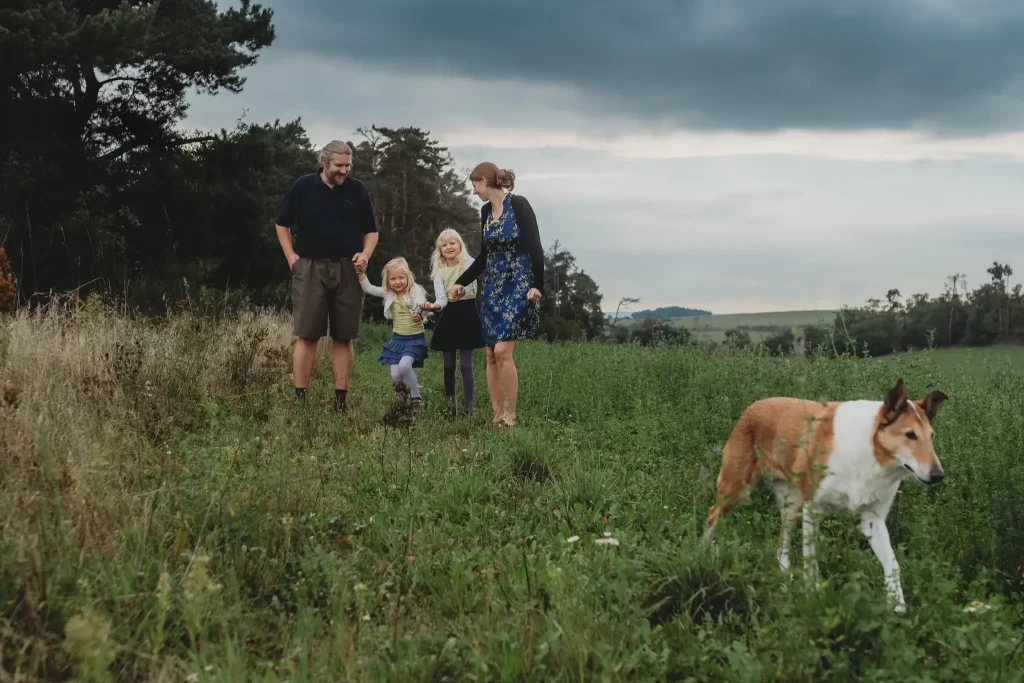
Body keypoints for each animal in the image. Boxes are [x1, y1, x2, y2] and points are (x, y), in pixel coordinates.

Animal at [700, 378, 946, 614]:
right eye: (910, 435)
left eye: (932, 436)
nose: (938, 475)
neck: (871, 451)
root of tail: (753, 405)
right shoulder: (813, 509)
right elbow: (811, 559)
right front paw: (812, 594)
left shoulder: (872, 520)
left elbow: (892, 563)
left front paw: (898, 605)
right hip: (737, 488)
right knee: (712, 514)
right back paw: (703, 554)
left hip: (791, 505)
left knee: (781, 542)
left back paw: (785, 573)